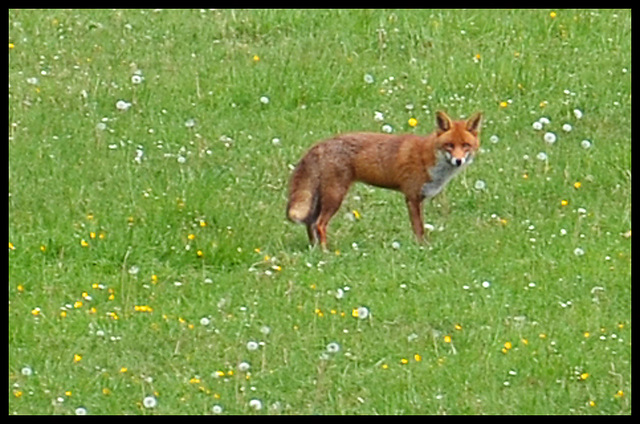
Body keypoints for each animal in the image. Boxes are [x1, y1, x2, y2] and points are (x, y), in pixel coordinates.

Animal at [284, 110, 480, 248]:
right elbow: (419, 228)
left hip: (322, 197)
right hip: (335, 196)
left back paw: (314, 249)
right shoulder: (412, 197)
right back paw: (326, 252)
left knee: (310, 223)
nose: (458, 161)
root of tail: (320, 144)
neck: (429, 159)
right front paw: (421, 248)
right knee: (319, 224)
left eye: (465, 145)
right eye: (449, 145)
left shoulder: (419, 197)